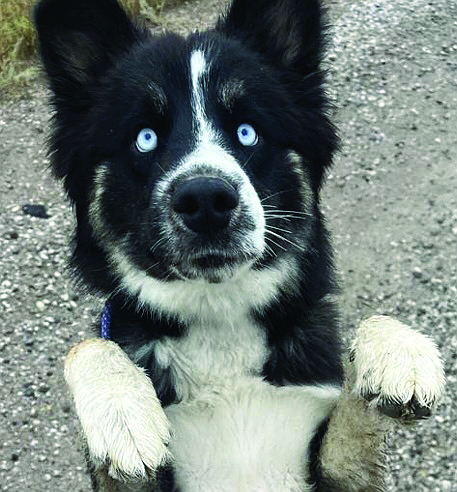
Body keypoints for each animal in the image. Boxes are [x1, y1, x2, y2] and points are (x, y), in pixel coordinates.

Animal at [33, 0, 444, 490]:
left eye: (248, 131)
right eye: (144, 137)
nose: (206, 200)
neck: (218, 322)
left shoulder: (335, 468)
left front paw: (399, 353)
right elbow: (86, 347)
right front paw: (121, 410)